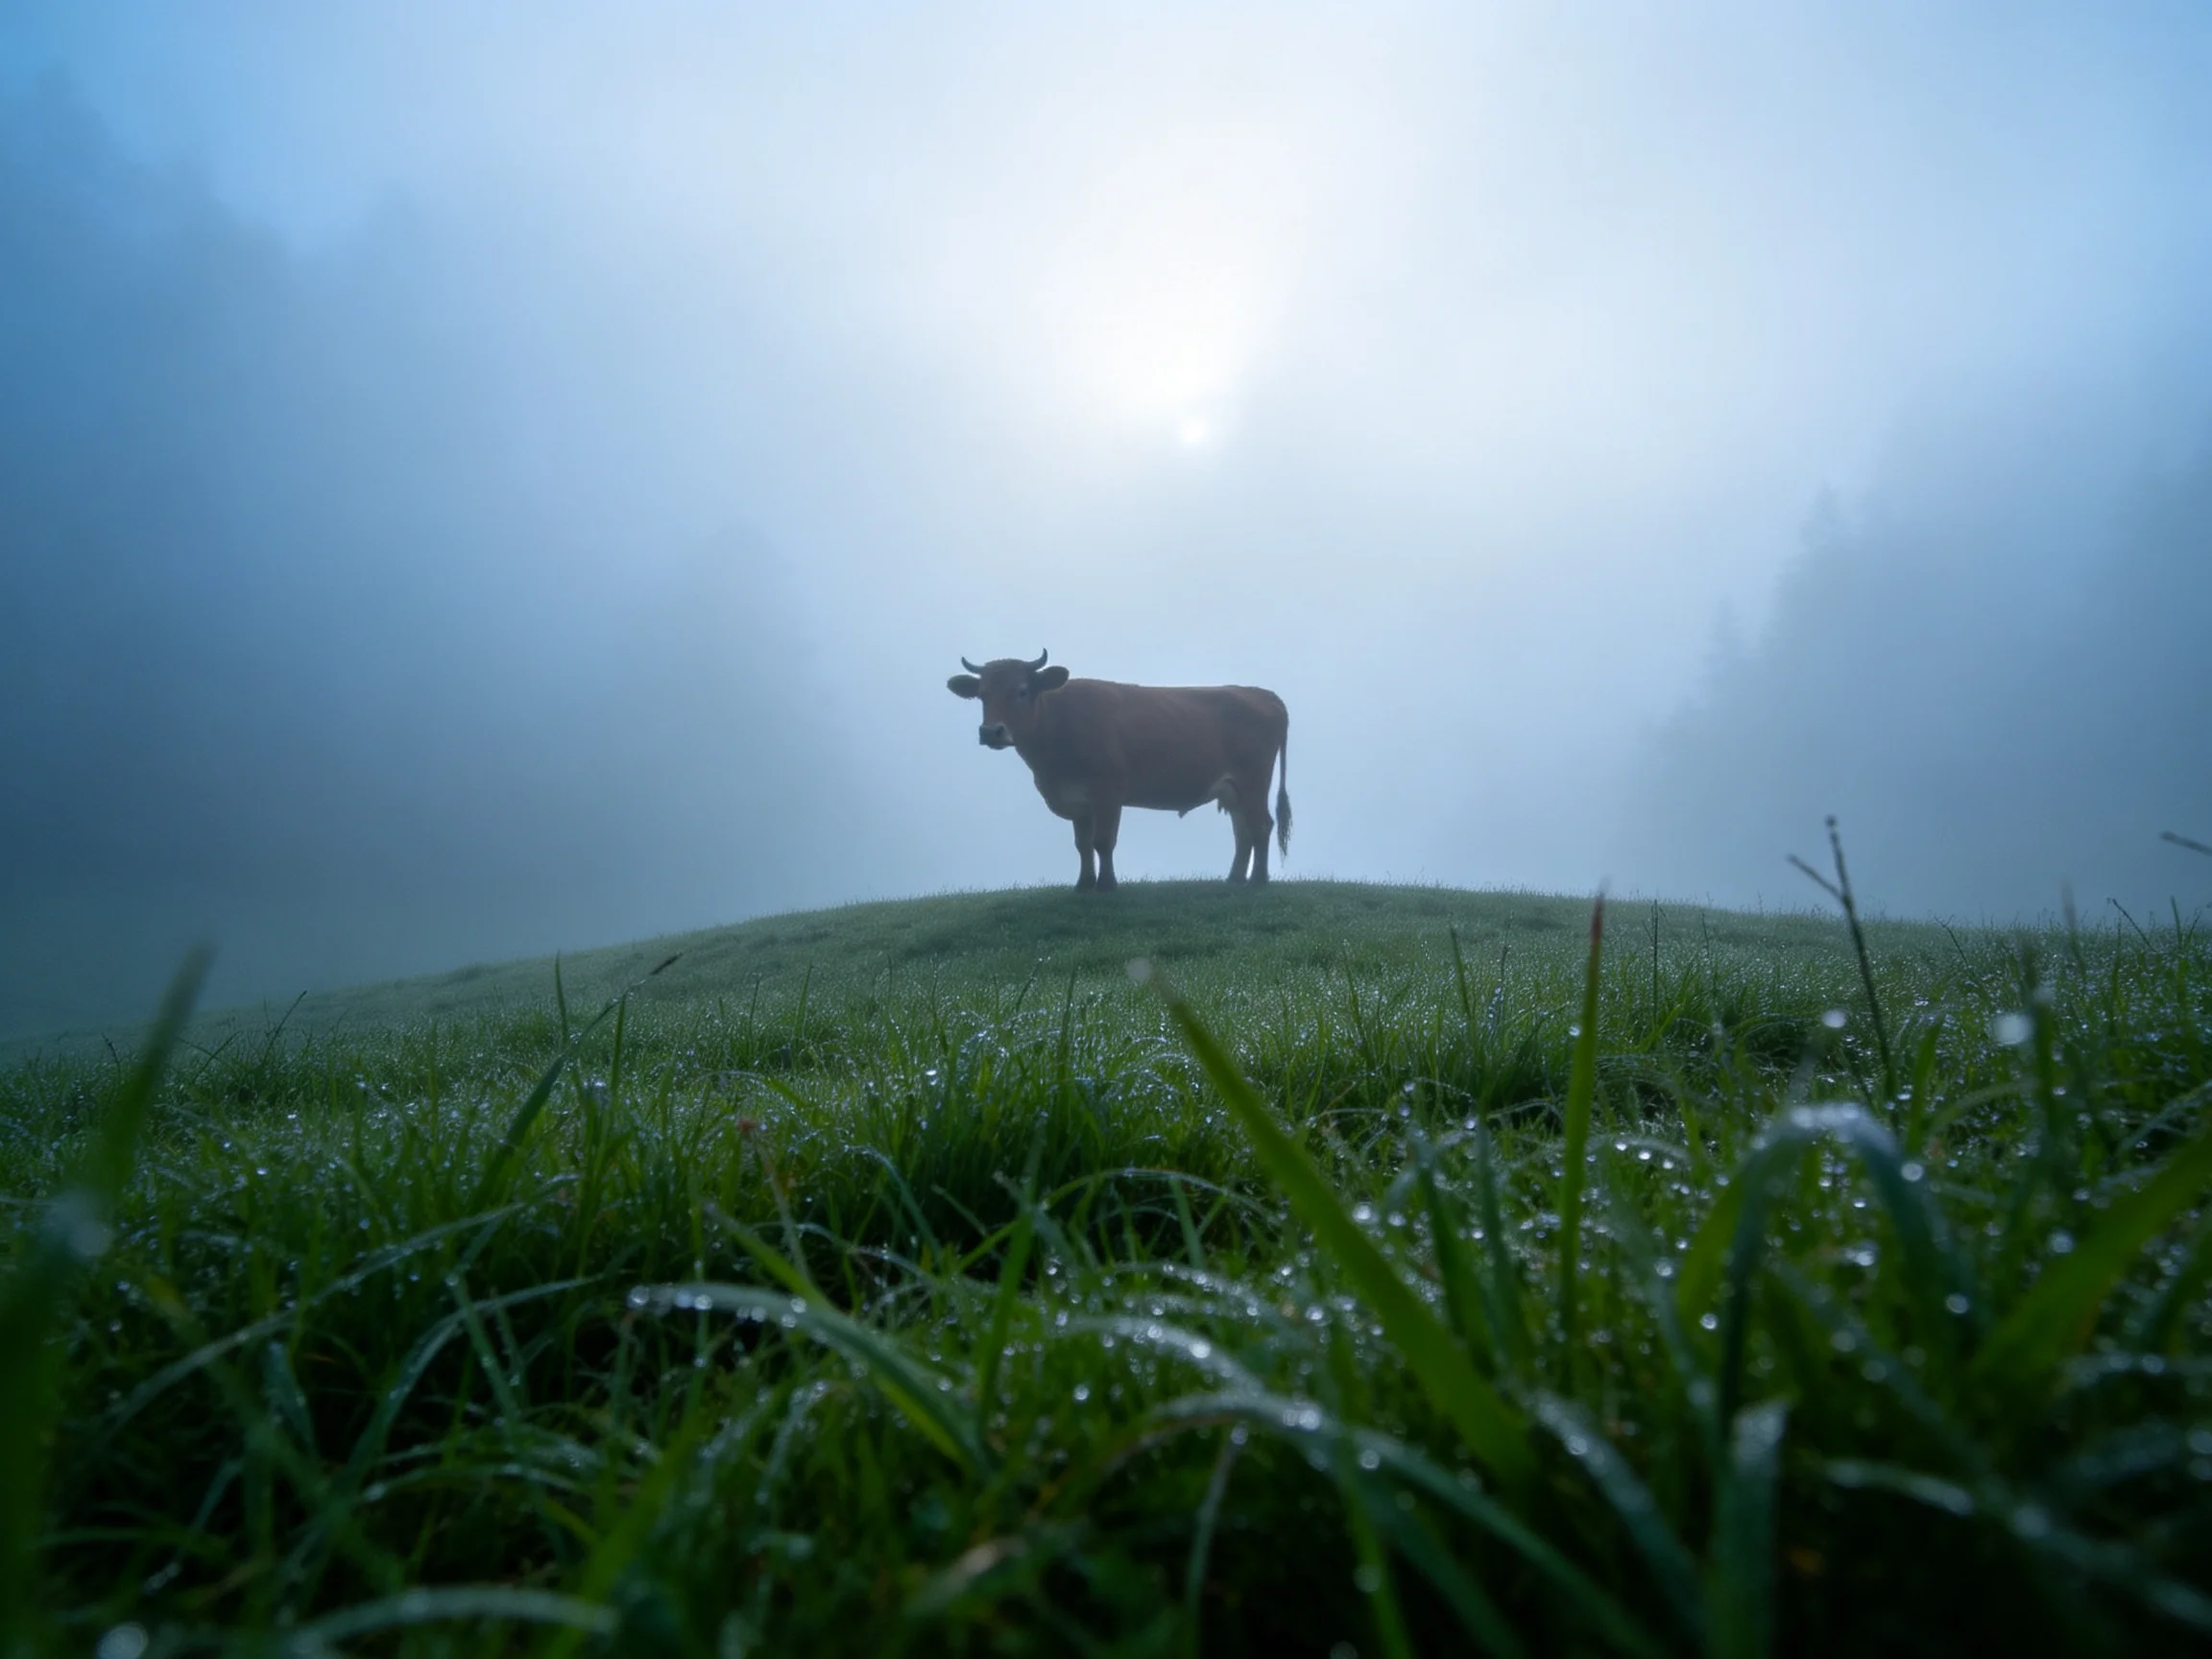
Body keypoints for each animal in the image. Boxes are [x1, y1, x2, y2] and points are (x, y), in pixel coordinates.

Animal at [947, 650, 1291, 891]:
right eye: (982, 695)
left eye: (1021, 691)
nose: (991, 732)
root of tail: (1262, 693)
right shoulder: (1079, 800)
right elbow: (1083, 845)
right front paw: (1083, 885)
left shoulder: (1108, 791)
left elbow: (1103, 842)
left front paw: (1107, 885)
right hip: (1233, 790)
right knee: (1243, 831)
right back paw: (1234, 879)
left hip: (1254, 781)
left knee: (1261, 825)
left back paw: (1258, 880)